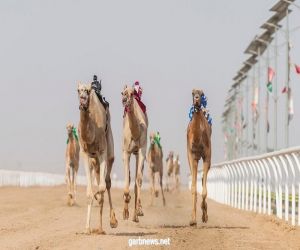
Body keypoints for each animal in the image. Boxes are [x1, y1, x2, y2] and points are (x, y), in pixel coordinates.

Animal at [77, 82, 117, 234]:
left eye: (87, 91)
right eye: (78, 91)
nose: (82, 100)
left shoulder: (102, 151)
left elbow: (101, 187)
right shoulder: (85, 153)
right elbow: (90, 193)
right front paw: (87, 228)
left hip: (109, 149)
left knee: (107, 182)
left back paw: (110, 223)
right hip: (94, 161)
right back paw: (99, 228)